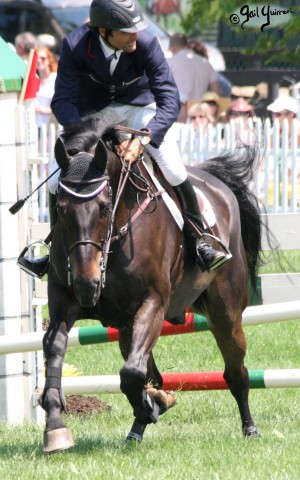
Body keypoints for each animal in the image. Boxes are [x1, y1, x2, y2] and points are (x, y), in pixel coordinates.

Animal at [39, 118, 264, 452]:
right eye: (61, 208)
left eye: (104, 207)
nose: (87, 285)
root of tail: (217, 184)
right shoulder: (64, 301)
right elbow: (55, 347)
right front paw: (55, 427)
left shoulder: (153, 303)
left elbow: (133, 373)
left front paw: (153, 403)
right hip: (126, 325)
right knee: (146, 367)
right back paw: (138, 427)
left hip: (225, 313)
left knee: (236, 371)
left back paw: (249, 428)